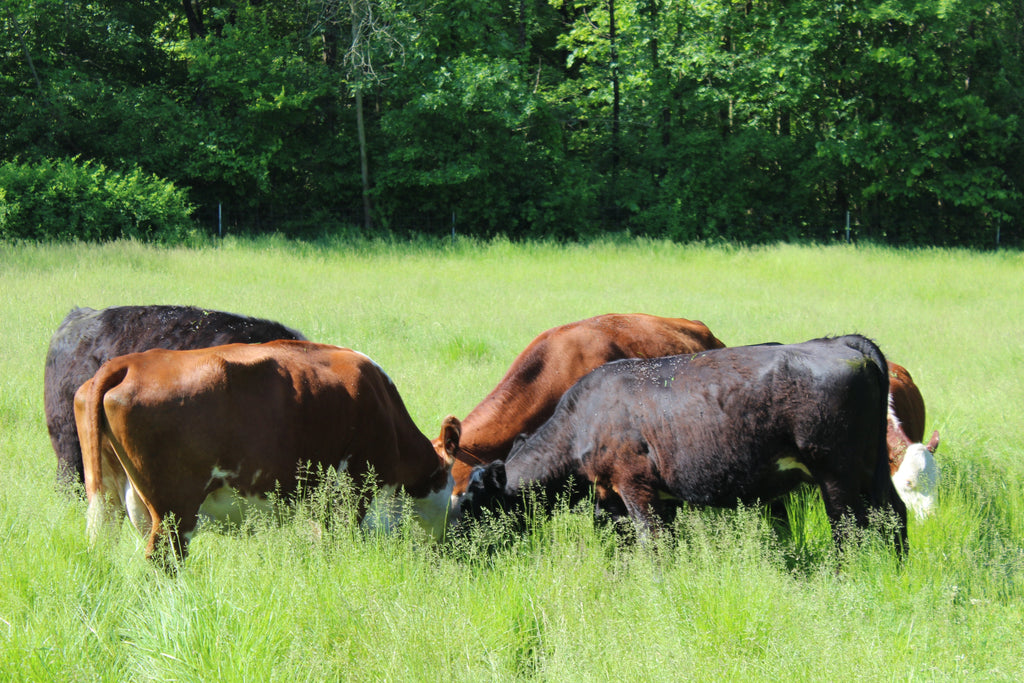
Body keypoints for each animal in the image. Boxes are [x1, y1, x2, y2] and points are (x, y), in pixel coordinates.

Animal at [452, 335, 909, 557]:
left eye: (470, 501)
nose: (453, 548)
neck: (581, 420)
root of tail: (840, 342)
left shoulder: (635, 488)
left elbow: (653, 546)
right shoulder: (617, 498)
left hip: (836, 476)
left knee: (850, 531)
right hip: (872, 473)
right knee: (895, 514)